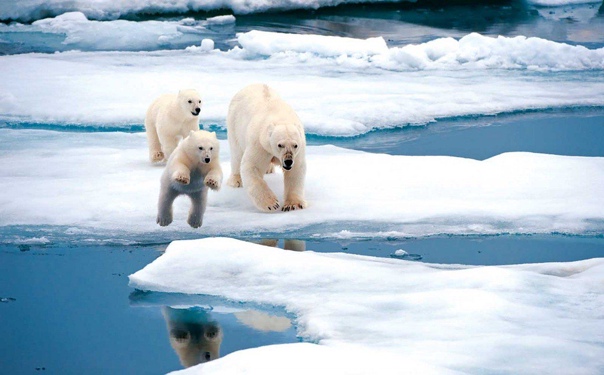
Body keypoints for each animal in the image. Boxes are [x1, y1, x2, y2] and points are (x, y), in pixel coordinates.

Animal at [226, 84, 306, 213]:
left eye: (295, 145)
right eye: (280, 145)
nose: (288, 161)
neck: (280, 117)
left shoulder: (299, 149)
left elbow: (296, 170)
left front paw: (293, 205)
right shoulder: (260, 143)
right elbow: (252, 166)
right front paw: (272, 204)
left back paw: (269, 169)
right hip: (234, 123)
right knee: (236, 153)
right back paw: (237, 180)